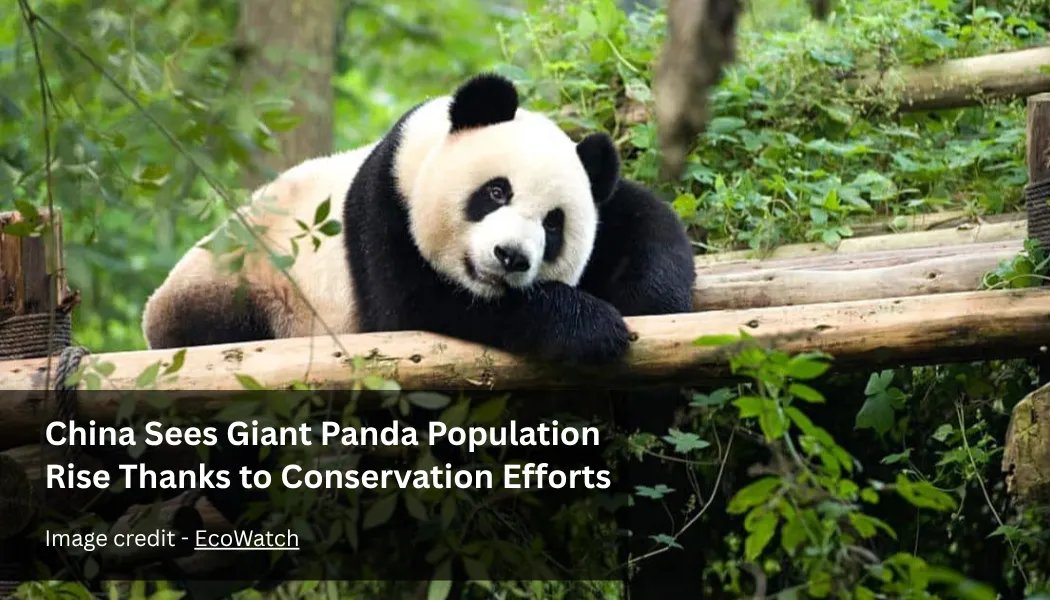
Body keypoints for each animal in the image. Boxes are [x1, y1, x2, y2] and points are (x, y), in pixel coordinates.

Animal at [140, 73, 698, 592]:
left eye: (554, 224)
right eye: (496, 191)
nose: (511, 257)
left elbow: (647, 224)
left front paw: (653, 307)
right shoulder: (382, 213)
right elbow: (416, 309)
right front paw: (590, 327)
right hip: (240, 293)